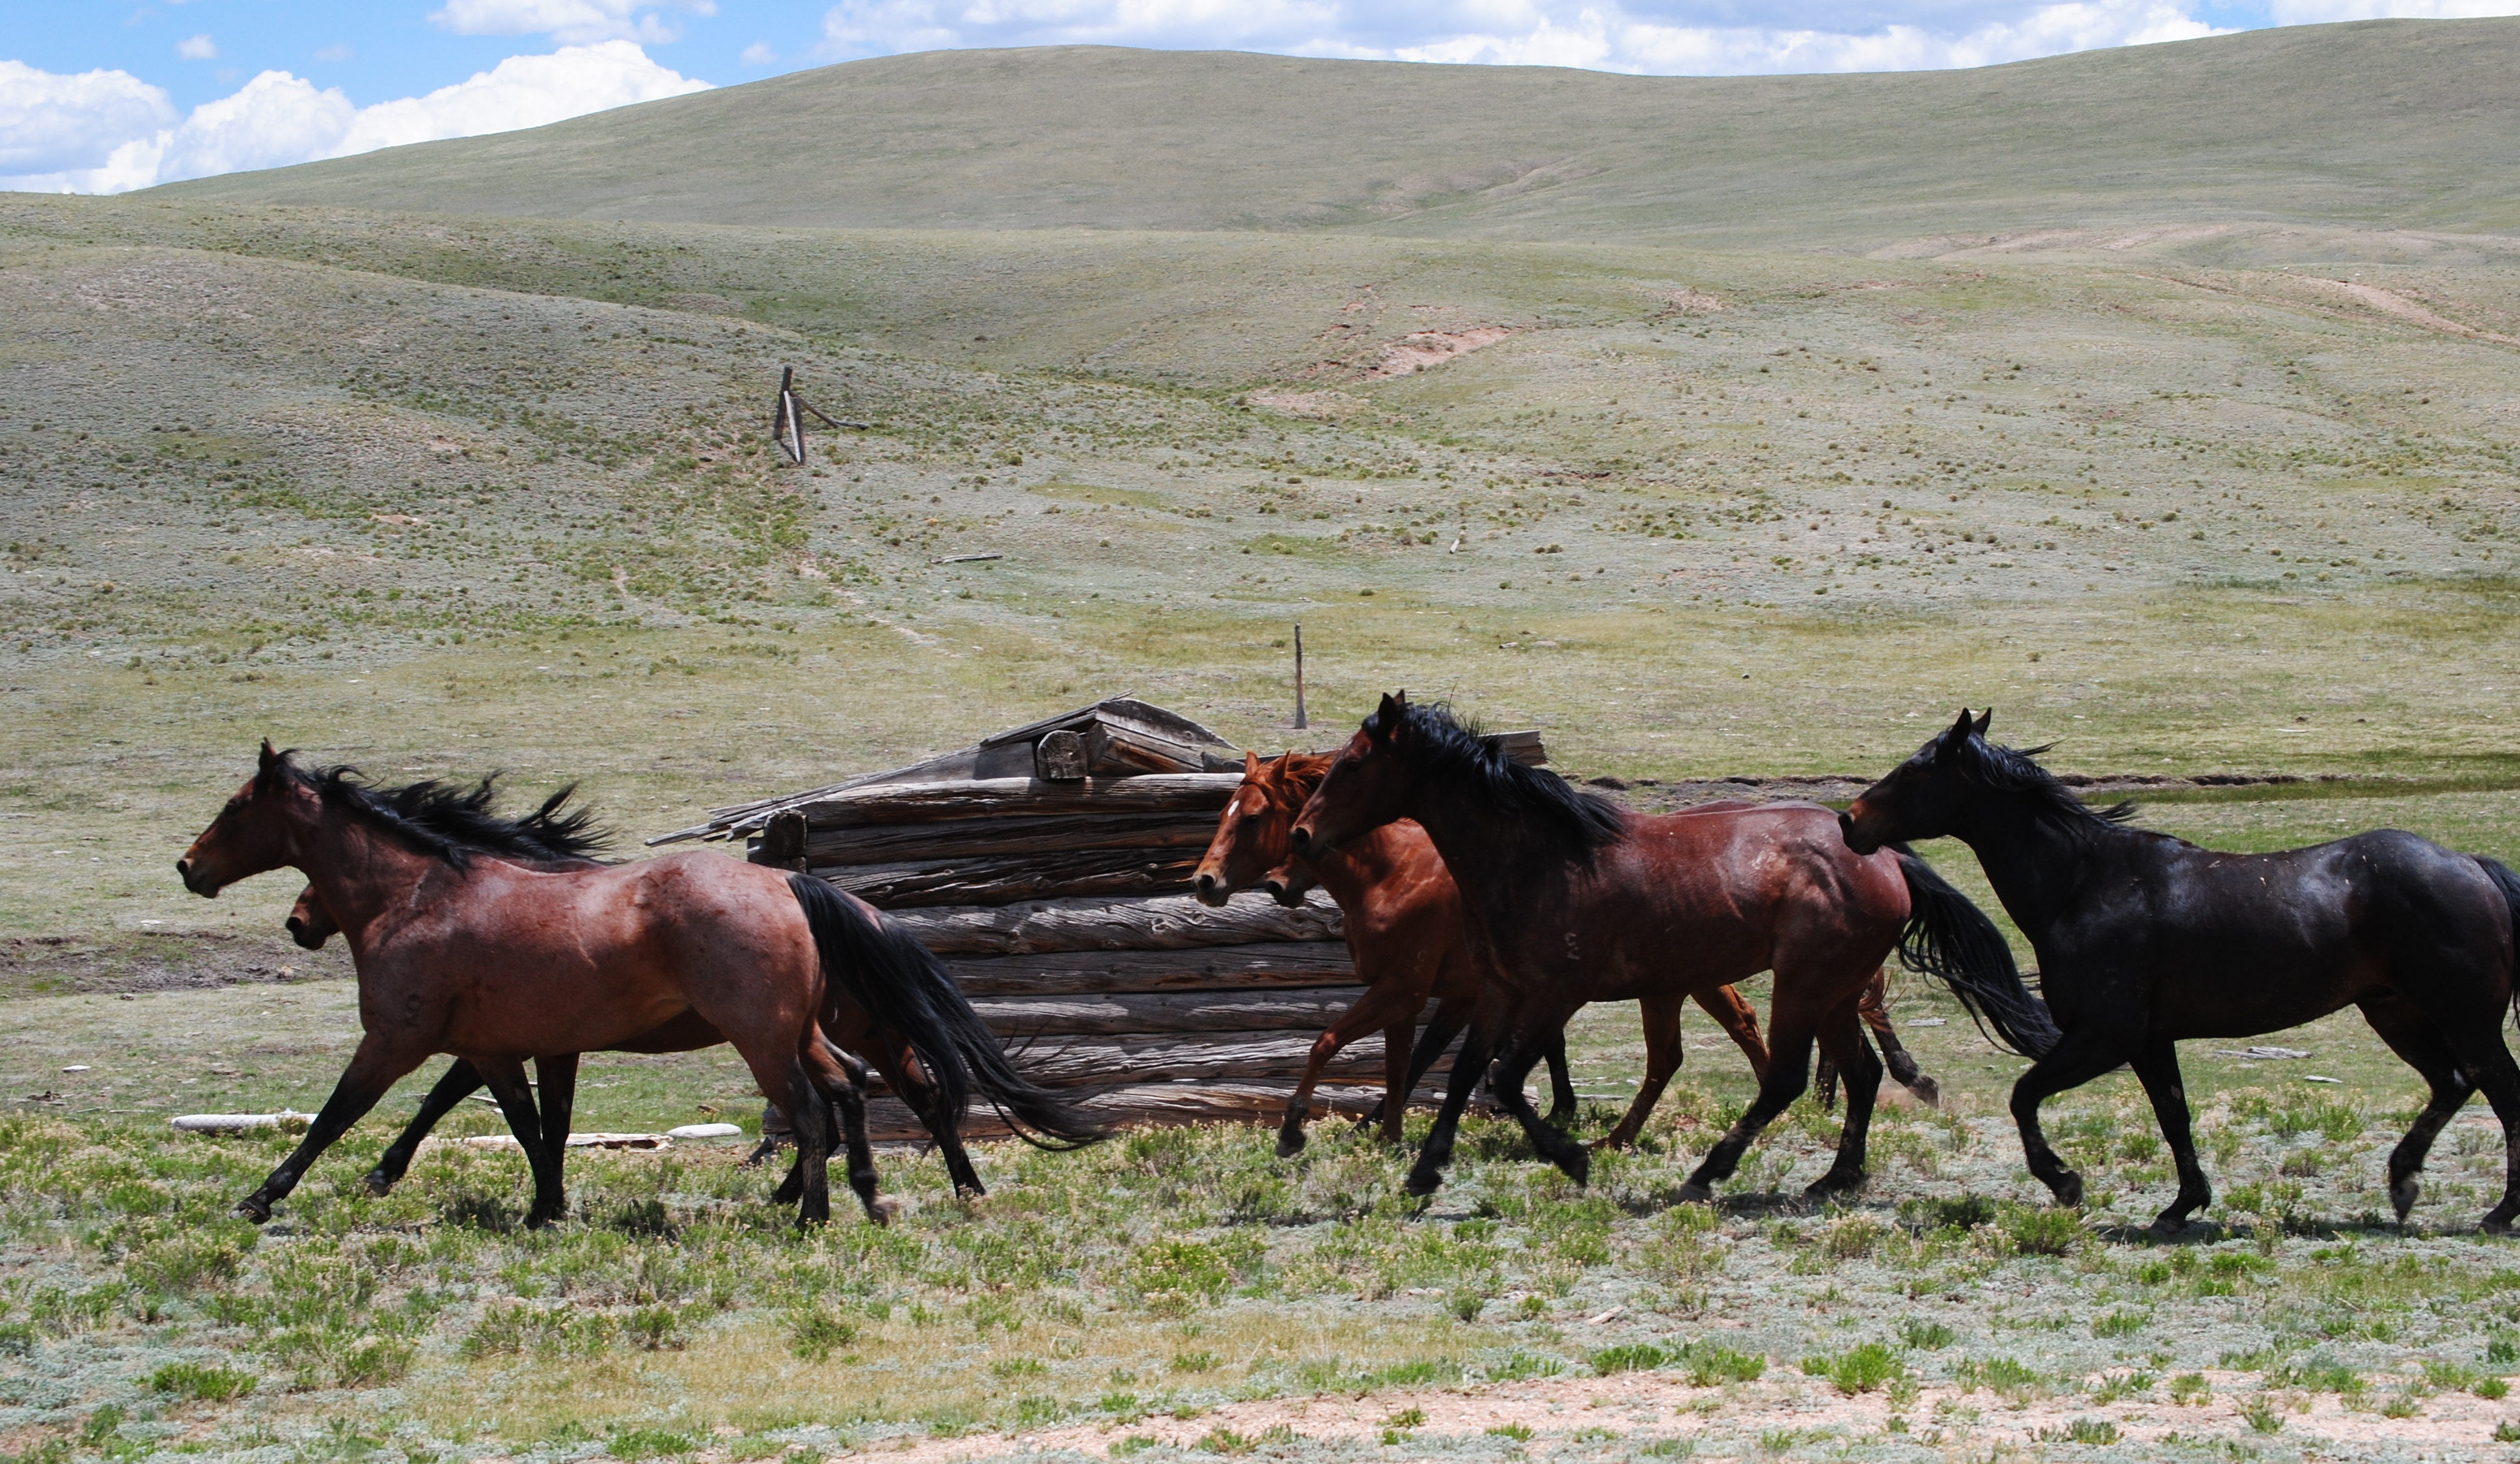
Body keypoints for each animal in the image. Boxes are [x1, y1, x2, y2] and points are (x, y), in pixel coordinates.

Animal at [182, 740, 1099, 1219]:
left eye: (233, 809)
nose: (189, 867)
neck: (418, 896)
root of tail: (790, 887)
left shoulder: (401, 1038)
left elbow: (340, 1115)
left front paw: (266, 1198)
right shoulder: (515, 1047)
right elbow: (536, 1128)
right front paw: (546, 1209)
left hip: (768, 1034)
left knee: (831, 1104)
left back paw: (819, 1211)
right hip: (809, 1028)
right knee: (864, 1090)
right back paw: (873, 1198)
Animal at [1194, 755, 1774, 1154]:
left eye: (1252, 818)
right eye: (1225, 813)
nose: (1205, 881)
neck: (1393, 874)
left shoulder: (1411, 990)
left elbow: (1334, 1043)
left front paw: (1303, 1128)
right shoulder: (1426, 996)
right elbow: (1404, 1061)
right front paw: (1383, 1133)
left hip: (1674, 982)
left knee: (1688, 1047)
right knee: (1733, 1026)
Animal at [1290, 695, 2036, 1199]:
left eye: (1351, 766)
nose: (1301, 834)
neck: (1536, 858)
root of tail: (1880, 852)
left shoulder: (1555, 995)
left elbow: (1502, 1078)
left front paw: (1573, 1157)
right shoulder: (1500, 990)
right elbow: (1467, 1071)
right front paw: (1425, 1168)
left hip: (1804, 986)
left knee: (1789, 1078)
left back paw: (1708, 1173)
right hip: (1836, 991)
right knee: (1861, 1073)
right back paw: (1837, 1177)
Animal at [1834, 705, 2520, 1234]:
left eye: (1916, 768)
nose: (1849, 821)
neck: (2085, 884)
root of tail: (2473, 866)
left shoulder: (2105, 1036)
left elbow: (2024, 1095)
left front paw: (2065, 1183)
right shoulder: (2150, 1042)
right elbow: (2173, 1117)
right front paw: (2181, 1206)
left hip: (2465, 1019)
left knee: (2501, 1091)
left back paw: (2498, 1213)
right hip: (2396, 1013)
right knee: (2453, 1084)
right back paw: (2403, 1183)